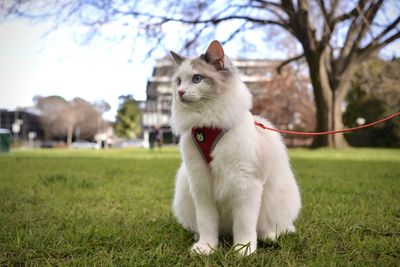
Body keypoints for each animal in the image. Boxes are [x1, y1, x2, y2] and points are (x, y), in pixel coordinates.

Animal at [169, 40, 300, 256]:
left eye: (197, 79)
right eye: (178, 81)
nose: (180, 93)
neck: (207, 124)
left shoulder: (245, 183)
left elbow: (244, 225)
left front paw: (243, 250)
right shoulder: (201, 185)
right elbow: (206, 223)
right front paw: (206, 248)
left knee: (275, 227)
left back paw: (269, 237)